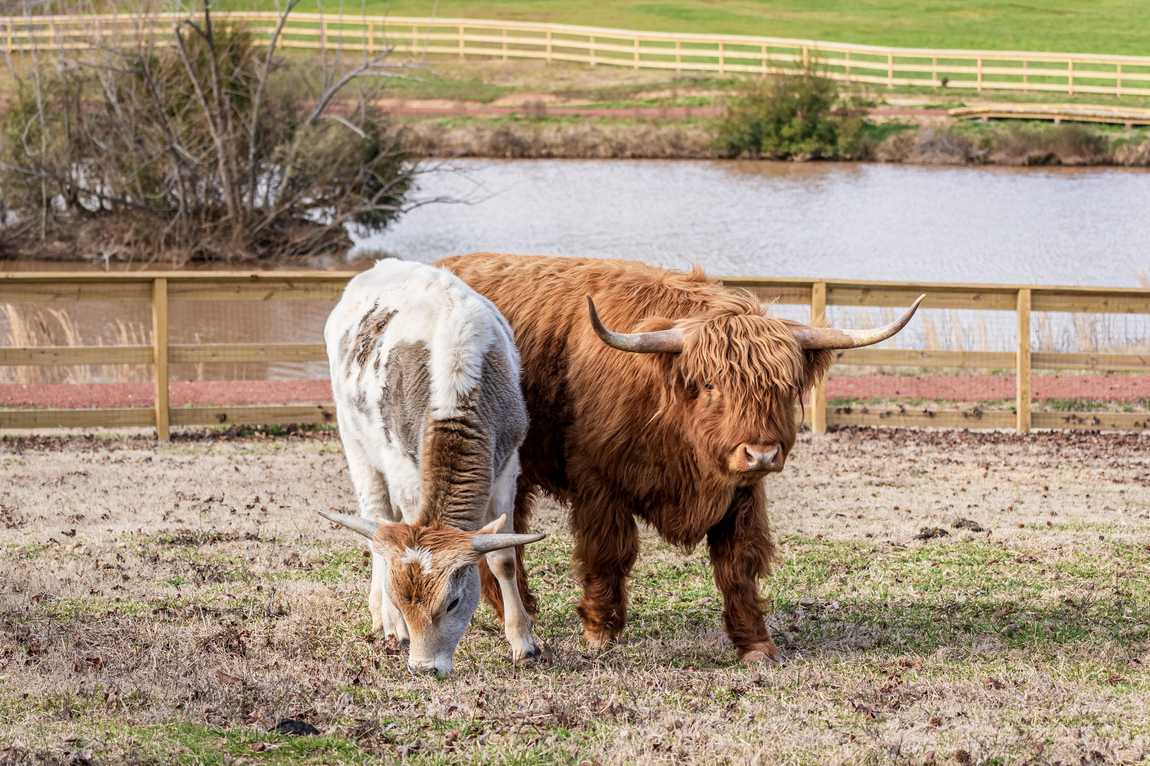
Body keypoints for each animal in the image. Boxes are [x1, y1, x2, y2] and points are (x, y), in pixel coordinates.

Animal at [319, 257, 542, 676]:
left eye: (453, 602)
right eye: (401, 597)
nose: (425, 667)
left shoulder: (508, 464)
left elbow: (503, 557)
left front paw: (524, 642)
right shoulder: (404, 471)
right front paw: (396, 620)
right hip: (353, 438)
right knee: (376, 521)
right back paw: (386, 623)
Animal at [434, 253, 920, 657]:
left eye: (782, 388)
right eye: (710, 385)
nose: (761, 453)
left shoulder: (742, 494)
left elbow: (738, 564)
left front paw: (756, 644)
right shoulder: (599, 483)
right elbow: (608, 553)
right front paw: (601, 632)